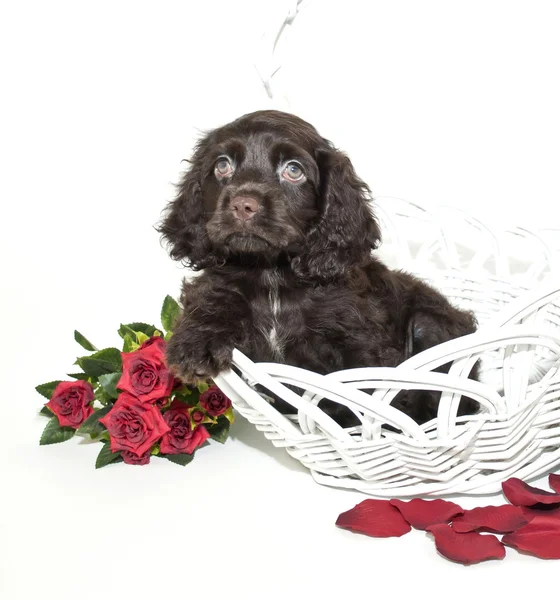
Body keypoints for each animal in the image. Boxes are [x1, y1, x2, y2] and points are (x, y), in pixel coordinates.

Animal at [160, 109, 480, 426]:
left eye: (293, 170)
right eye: (222, 165)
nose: (242, 206)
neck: (272, 274)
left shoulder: (359, 334)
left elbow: (362, 388)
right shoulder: (224, 282)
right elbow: (211, 295)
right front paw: (194, 344)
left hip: (427, 324)